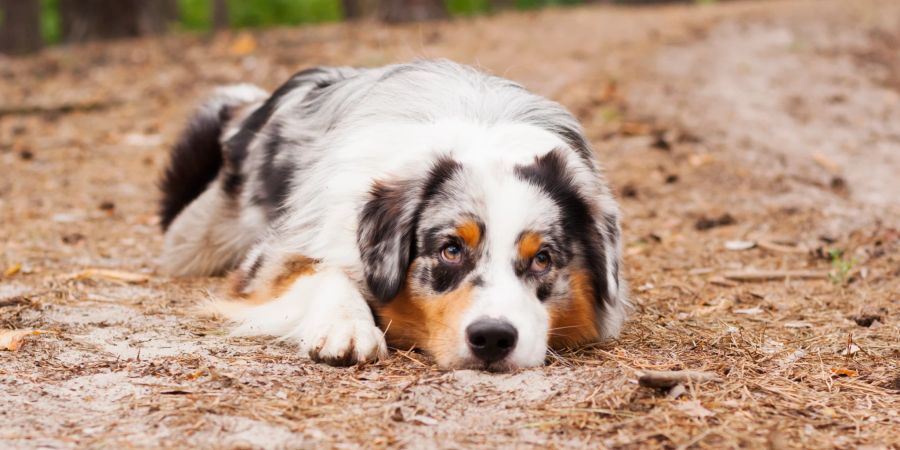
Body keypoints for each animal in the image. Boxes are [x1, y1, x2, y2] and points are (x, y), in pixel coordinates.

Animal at [160, 59, 624, 370]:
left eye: (542, 258)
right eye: (451, 249)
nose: (492, 338)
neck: (482, 139)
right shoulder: (271, 257)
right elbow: (324, 270)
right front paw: (348, 328)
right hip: (196, 240)